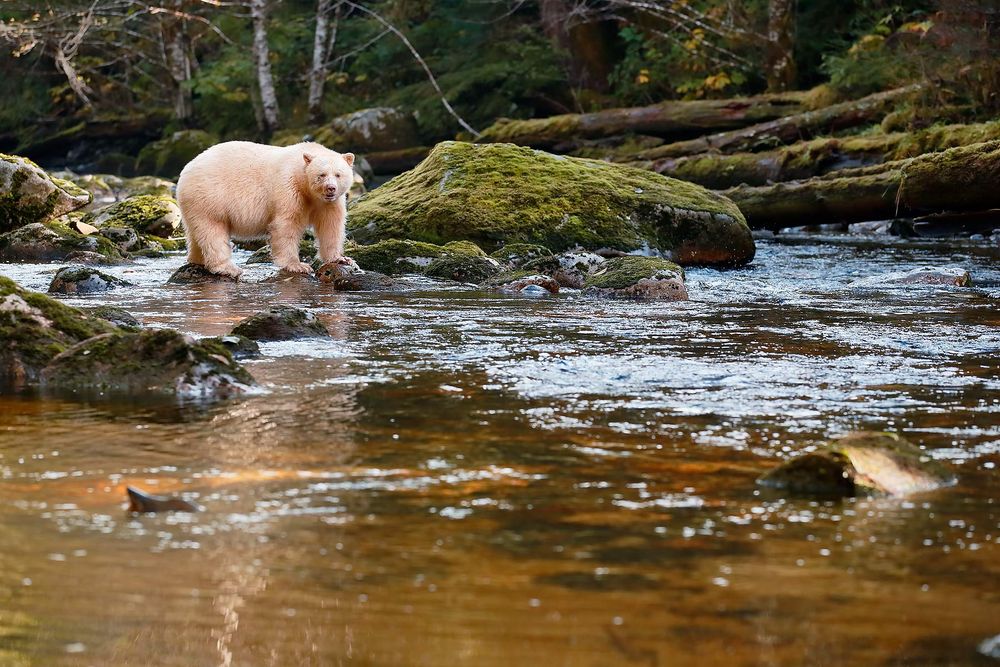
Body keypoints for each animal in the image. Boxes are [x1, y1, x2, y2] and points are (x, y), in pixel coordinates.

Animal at [175, 141, 355, 279]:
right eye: (321, 175)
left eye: (338, 174)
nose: (330, 188)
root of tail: (186, 170)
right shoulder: (289, 189)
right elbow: (286, 225)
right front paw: (298, 265)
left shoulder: (329, 203)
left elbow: (330, 226)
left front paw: (341, 259)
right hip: (209, 197)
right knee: (213, 231)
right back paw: (228, 268)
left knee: (196, 234)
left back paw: (196, 259)